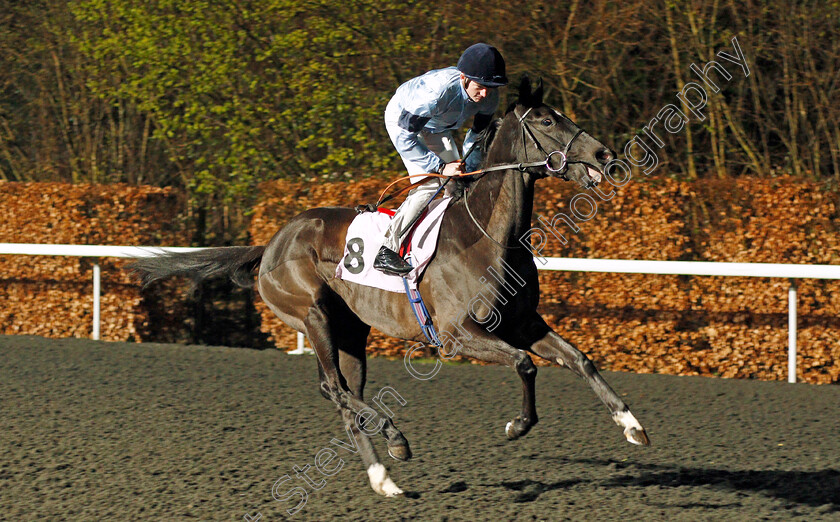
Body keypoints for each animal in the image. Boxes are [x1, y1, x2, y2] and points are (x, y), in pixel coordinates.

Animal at [135, 76, 652, 496]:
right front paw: (516, 425)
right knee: (336, 389)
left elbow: (580, 359)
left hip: (352, 330)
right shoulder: (457, 335)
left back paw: (386, 461)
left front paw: (632, 426)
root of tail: (273, 242)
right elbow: (525, 365)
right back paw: (390, 457)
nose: (605, 155)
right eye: (546, 120)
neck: (488, 235)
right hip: (312, 314)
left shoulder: (523, 321)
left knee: (339, 390)